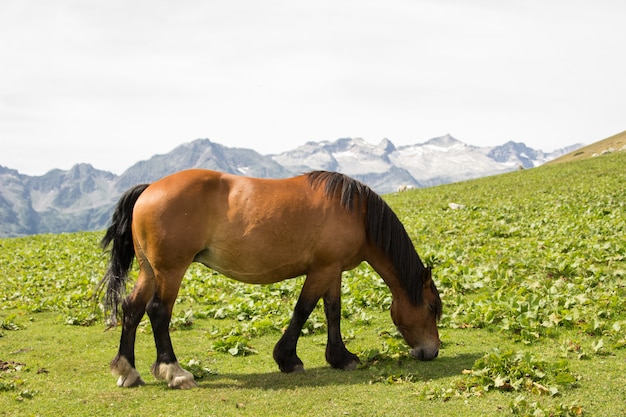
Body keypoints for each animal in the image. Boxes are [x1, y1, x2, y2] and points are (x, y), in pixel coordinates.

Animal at [100, 168, 442, 386]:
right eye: (431, 308)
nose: (431, 351)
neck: (357, 212)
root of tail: (149, 189)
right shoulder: (321, 271)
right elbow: (303, 310)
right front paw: (287, 359)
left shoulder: (332, 270)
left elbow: (332, 312)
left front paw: (340, 357)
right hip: (171, 270)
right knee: (158, 312)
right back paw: (175, 372)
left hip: (150, 272)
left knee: (132, 309)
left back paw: (128, 371)